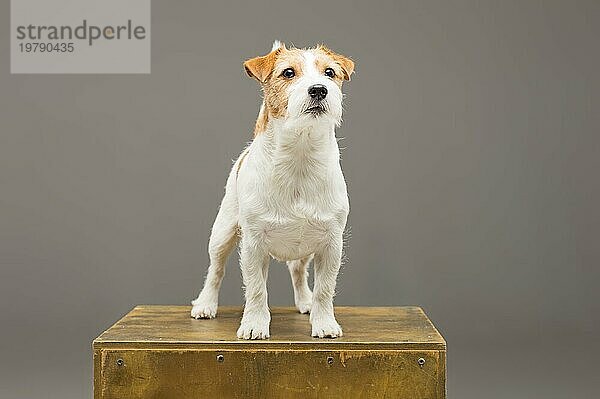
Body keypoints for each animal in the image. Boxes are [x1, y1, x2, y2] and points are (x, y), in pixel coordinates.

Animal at [190, 41, 354, 340]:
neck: (300, 156)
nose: (319, 89)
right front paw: (255, 324)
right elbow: (256, 288)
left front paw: (324, 322)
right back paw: (206, 305)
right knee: (215, 270)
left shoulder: (331, 244)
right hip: (222, 233)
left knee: (298, 271)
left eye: (330, 72)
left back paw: (305, 302)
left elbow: (325, 289)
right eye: (288, 72)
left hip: (306, 247)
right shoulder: (253, 244)